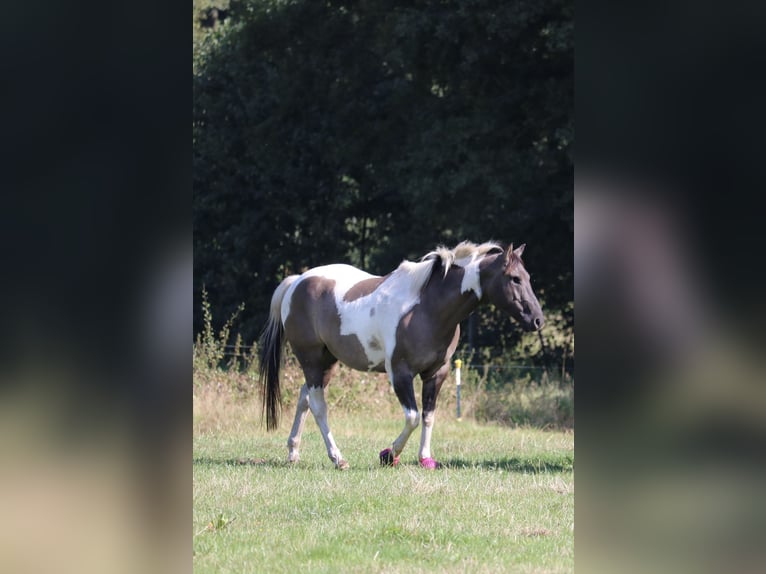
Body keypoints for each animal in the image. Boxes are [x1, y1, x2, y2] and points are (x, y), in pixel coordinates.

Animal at [258, 241, 544, 470]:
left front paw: (425, 458)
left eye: (528, 277)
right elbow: (413, 416)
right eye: (515, 278)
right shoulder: (400, 373)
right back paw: (338, 459)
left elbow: (428, 415)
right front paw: (388, 454)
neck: (428, 308)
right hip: (312, 360)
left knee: (304, 398)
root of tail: (296, 282)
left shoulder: (436, 373)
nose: (538, 320)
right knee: (318, 406)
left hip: (326, 363)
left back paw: (293, 453)